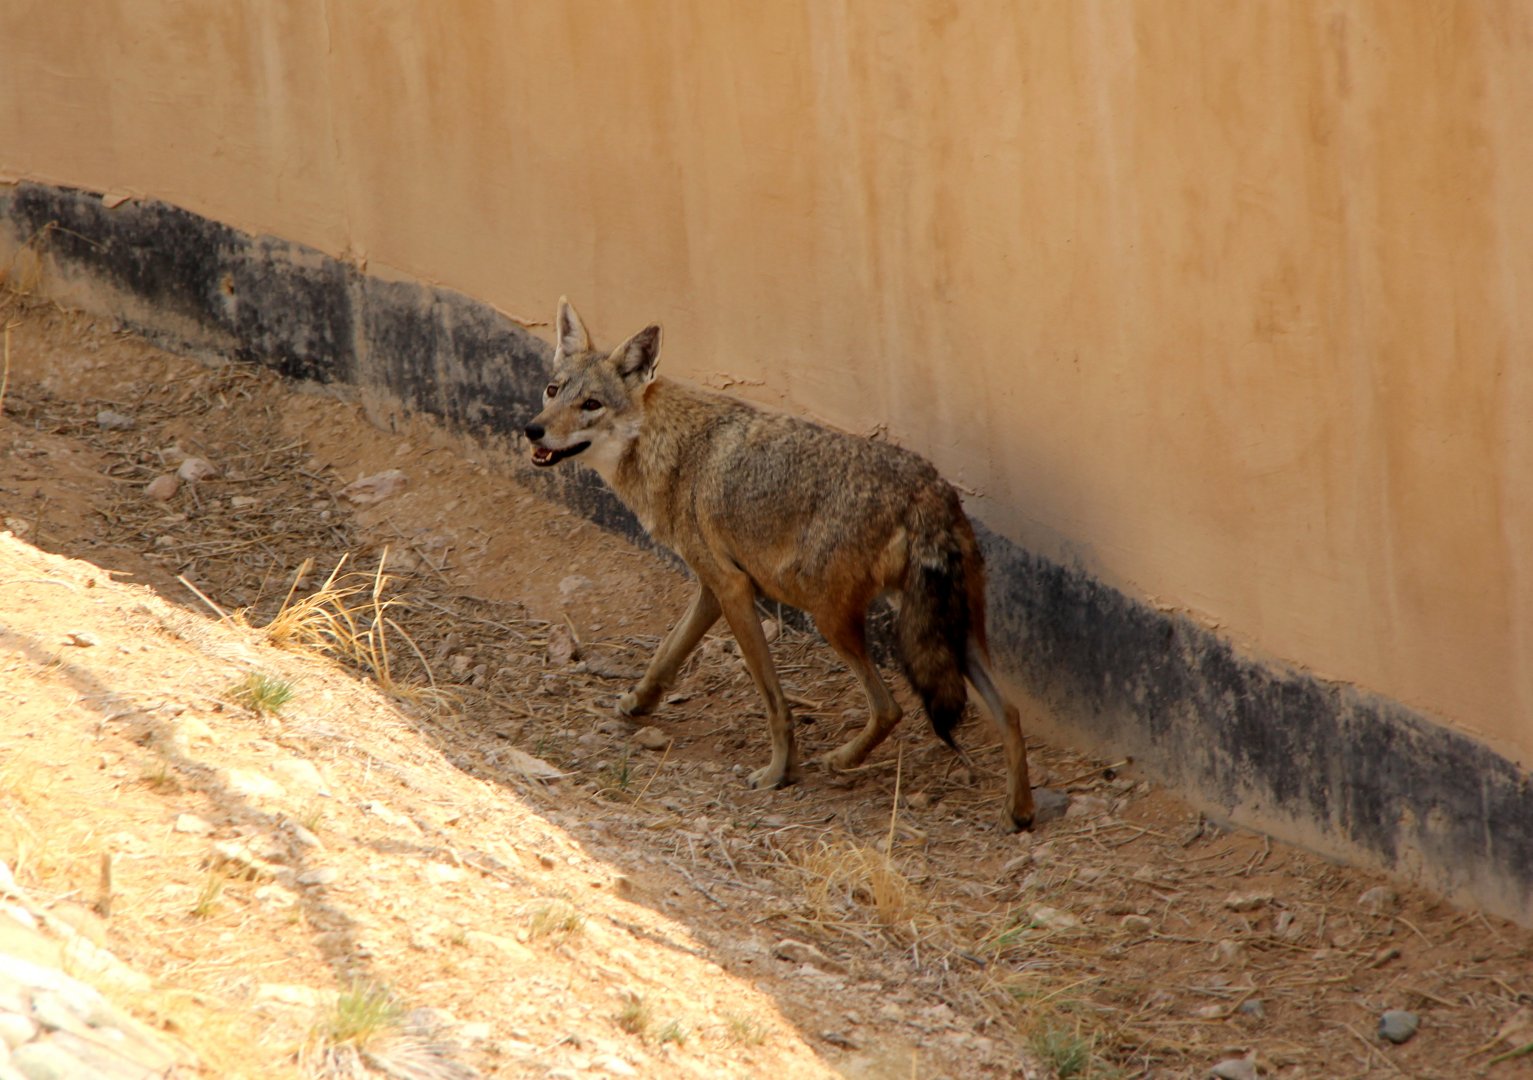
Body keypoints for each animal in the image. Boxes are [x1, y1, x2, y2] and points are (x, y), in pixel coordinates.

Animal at [524, 299, 1034, 831]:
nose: (532, 429)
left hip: (831, 620)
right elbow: (667, 653)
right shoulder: (712, 588)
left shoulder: (734, 589)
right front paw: (636, 703)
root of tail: (929, 489)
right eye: (554, 391)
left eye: (591, 405)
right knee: (1009, 713)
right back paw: (1017, 811)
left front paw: (778, 773)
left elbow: (774, 701)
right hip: (950, 635)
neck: (669, 448)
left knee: (890, 707)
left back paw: (841, 761)